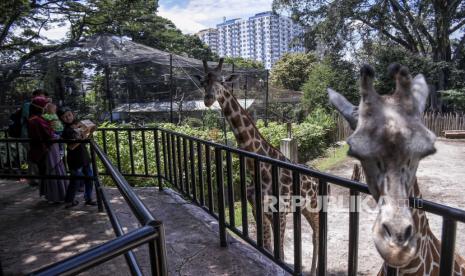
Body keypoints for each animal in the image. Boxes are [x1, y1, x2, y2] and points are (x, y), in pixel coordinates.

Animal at [192, 58, 320, 274]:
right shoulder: (258, 210)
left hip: (314, 204)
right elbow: (267, 248)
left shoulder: (280, 213)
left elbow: (280, 254)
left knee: (318, 234)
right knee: (314, 233)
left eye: (222, 81)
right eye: (203, 82)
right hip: (303, 208)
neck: (259, 169)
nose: (208, 99)